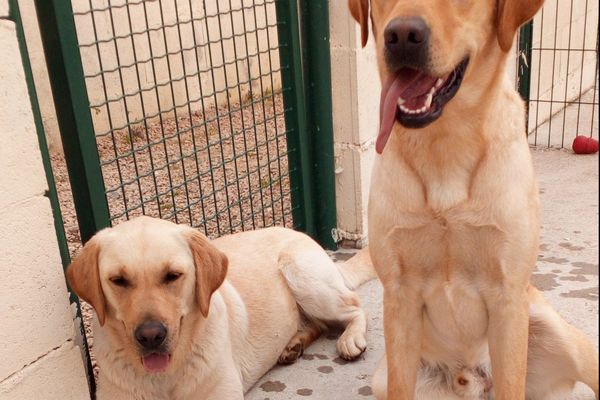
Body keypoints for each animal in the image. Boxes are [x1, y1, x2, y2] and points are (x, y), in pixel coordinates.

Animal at [350, 0, 596, 398]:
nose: (401, 36)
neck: (444, 144)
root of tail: (475, 377)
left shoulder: (507, 297)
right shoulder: (399, 297)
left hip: (564, 337)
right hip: (383, 380)